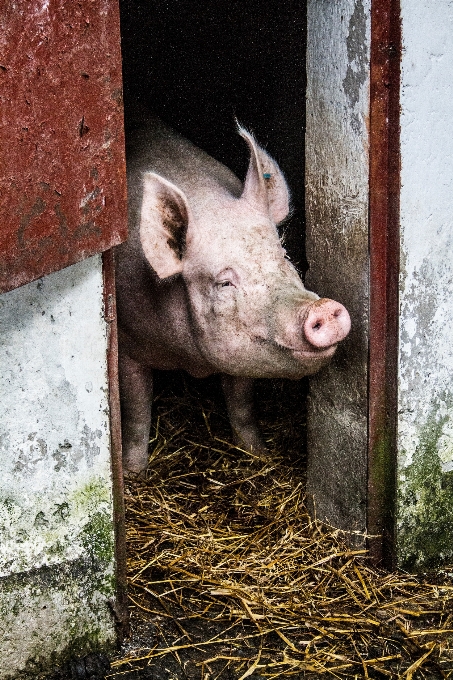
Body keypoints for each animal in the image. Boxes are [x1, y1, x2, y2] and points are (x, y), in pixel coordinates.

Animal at [115, 117, 350, 472]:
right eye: (225, 283)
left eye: (284, 256)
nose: (321, 307)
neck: (190, 360)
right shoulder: (127, 345)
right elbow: (137, 411)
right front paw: (133, 472)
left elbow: (241, 403)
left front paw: (259, 452)